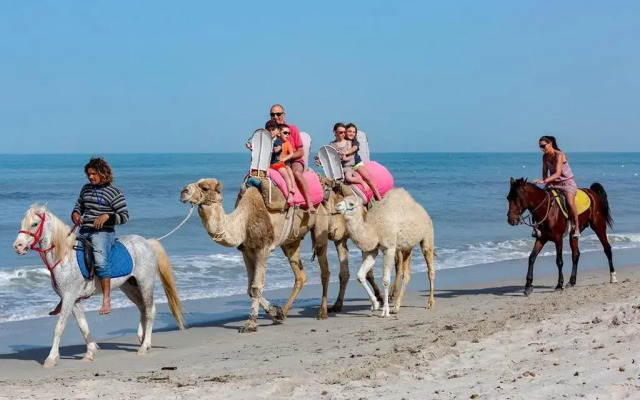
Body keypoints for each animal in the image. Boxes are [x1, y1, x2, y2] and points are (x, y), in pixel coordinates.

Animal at [11, 205, 185, 368]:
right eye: (22, 223)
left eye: (35, 224)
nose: (17, 246)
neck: (65, 257)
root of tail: (147, 242)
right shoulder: (74, 300)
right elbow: (83, 326)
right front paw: (90, 352)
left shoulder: (68, 298)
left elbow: (59, 327)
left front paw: (51, 358)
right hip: (129, 287)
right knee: (143, 309)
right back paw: (143, 340)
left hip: (145, 282)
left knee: (150, 310)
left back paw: (144, 346)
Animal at [180, 178, 330, 332]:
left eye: (204, 188)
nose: (183, 191)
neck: (244, 221)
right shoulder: (246, 251)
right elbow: (249, 289)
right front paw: (276, 312)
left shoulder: (263, 249)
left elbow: (256, 287)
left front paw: (250, 324)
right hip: (290, 242)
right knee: (300, 275)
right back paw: (284, 312)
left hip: (320, 224)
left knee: (324, 269)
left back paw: (322, 312)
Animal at [336, 189, 436, 318]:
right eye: (342, 199)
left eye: (351, 203)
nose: (337, 206)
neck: (374, 228)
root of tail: (423, 212)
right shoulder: (371, 251)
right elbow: (360, 276)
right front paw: (375, 304)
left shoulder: (389, 248)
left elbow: (385, 280)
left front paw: (385, 311)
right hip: (407, 247)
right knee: (407, 274)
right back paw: (396, 307)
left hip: (427, 235)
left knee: (430, 267)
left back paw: (430, 302)